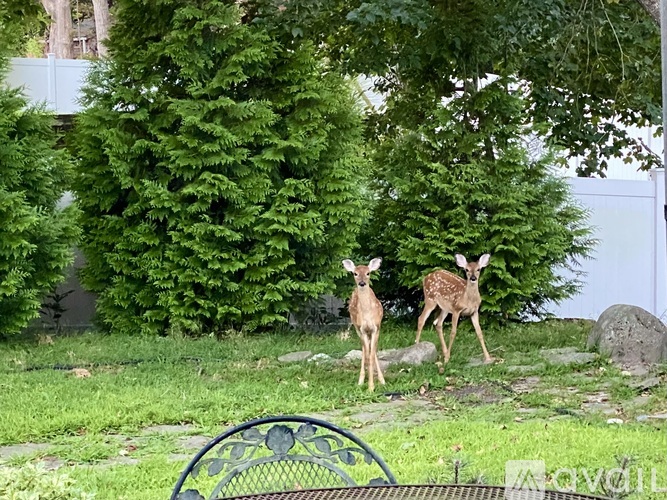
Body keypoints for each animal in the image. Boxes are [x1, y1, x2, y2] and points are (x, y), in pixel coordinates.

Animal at [342, 258, 385, 392]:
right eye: (355, 273)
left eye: (368, 273)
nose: (362, 283)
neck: (367, 314)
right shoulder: (362, 329)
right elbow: (367, 355)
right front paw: (370, 386)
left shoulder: (376, 328)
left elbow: (371, 355)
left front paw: (372, 385)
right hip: (357, 328)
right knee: (364, 350)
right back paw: (361, 381)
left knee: (372, 350)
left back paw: (382, 380)